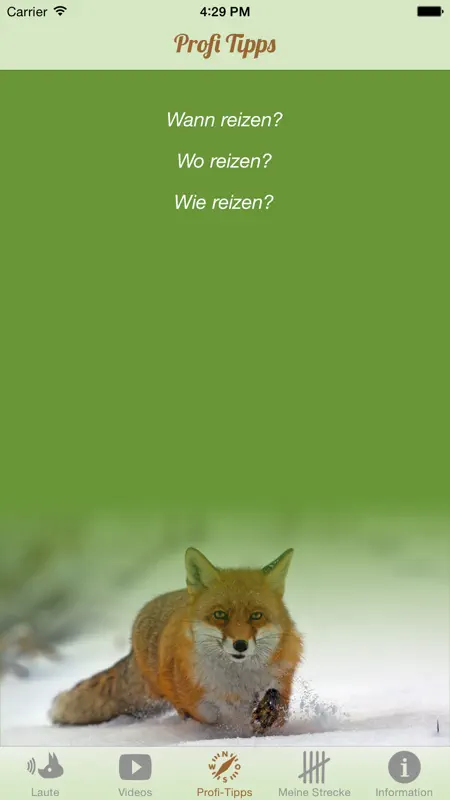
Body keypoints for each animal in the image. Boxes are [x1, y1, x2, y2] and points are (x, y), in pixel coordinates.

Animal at [50, 547, 303, 735]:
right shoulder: (196, 699)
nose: (240, 644)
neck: (237, 680)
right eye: (220, 614)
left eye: (256, 616)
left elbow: (275, 700)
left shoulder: (283, 678)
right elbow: (213, 713)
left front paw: (265, 713)